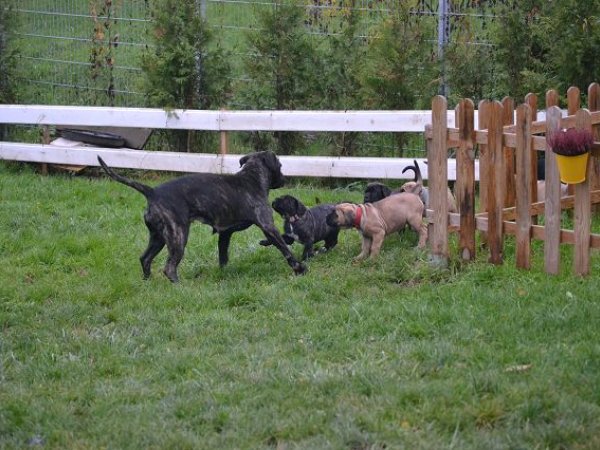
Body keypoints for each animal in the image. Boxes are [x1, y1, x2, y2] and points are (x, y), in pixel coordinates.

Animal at [97, 151, 306, 282]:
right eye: (280, 164)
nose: (284, 179)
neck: (251, 178)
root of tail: (152, 192)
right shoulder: (268, 226)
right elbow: (285, 248)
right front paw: (299, 268)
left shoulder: (225, 233)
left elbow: (223, 256)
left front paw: (223, 273)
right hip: (178, 236)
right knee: (169, 268)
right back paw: (179, 287)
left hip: (158, 237)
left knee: (145, 258)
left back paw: (147, 282)